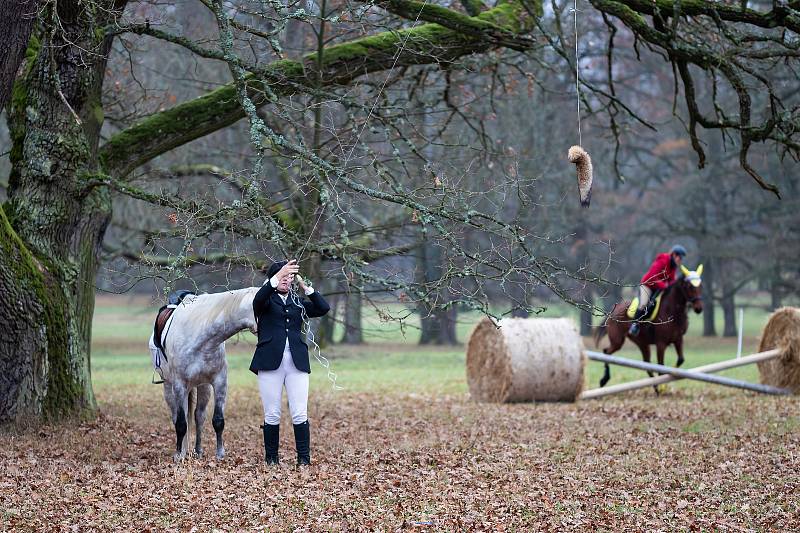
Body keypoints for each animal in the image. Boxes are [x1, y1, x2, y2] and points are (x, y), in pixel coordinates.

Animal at [148, 288, 258, 460]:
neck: (201, 338)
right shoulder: (179, 385)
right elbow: (181, 423)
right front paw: (178, 455)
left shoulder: (219, 381)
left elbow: (218, 420)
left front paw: (220, 454)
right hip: (169, 387)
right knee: (176, 417)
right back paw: (181, 451)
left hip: (203, 386)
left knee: (198, 416)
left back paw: (197, 450)